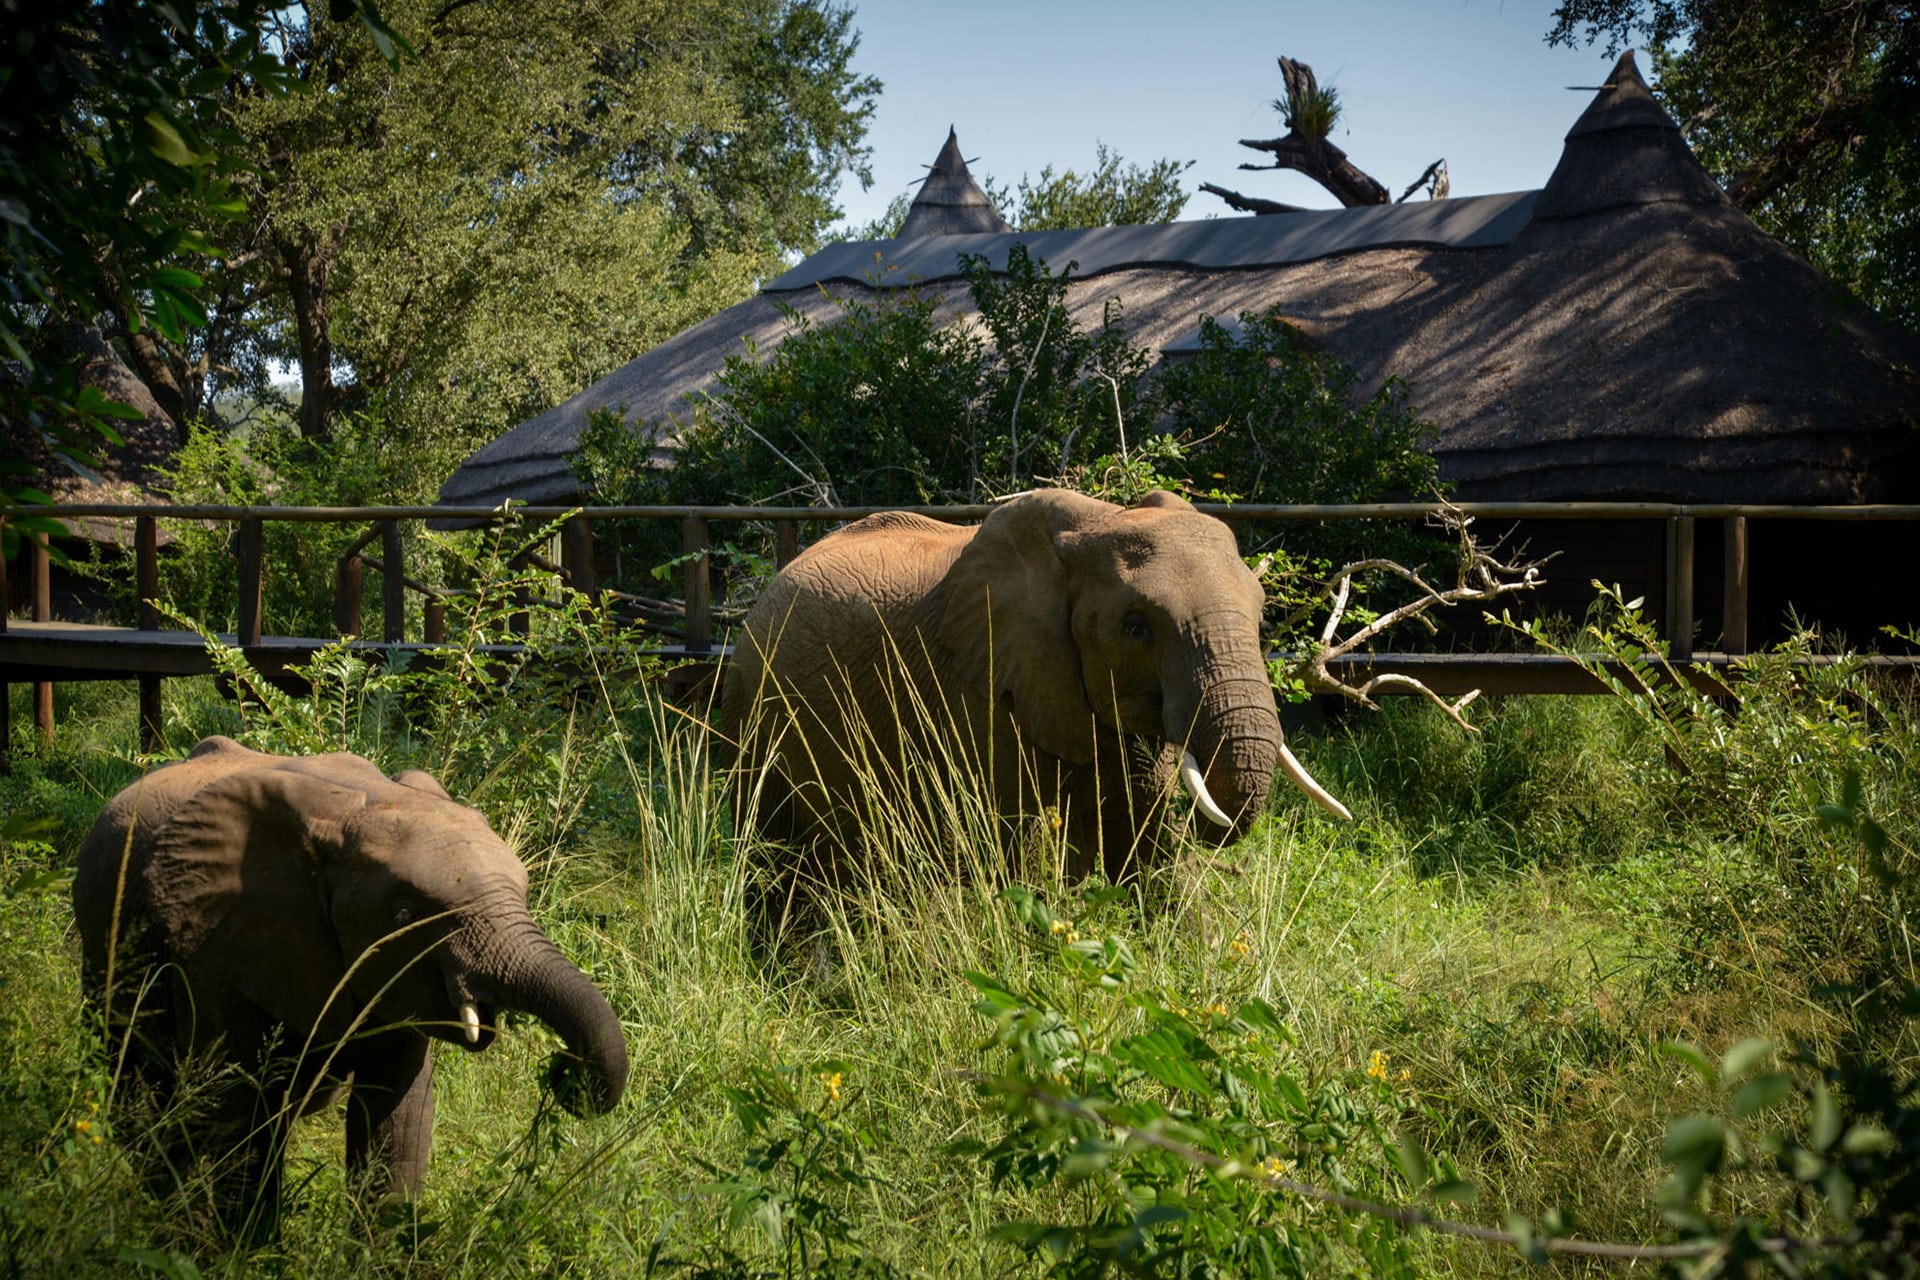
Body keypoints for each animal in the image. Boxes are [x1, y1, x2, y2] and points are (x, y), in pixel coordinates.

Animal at [72, 736, 628, 1235]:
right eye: (403, 914)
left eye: (524, 892)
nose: (564, 1070)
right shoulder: (212, 945)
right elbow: (238, 1106)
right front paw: (245, 1249)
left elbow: (400, 1112)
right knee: (135, 1080)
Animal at [721, 489, 1349, 887]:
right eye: (1135, 627)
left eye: (1261, 616)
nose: (1212, 825)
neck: (1096, 524)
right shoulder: (981, 686)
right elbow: (1012, 849)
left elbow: (1148, 842)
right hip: (753, 702)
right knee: (776, 858)